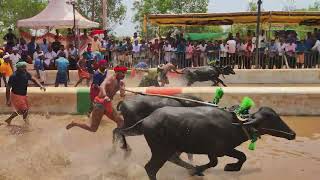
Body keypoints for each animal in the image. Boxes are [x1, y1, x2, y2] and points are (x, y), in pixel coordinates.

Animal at [131, 106, 296, 179]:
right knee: (150, 168)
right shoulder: (219, 150)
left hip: (173, 148)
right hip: (160, 150)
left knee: (173, 159)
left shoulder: (222, 150)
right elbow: (215, 162)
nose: (293, 134)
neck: (236, 125)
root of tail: (147, 119)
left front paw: (230, 167)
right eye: (272, 119)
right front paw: (198, 169)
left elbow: (241, 156)